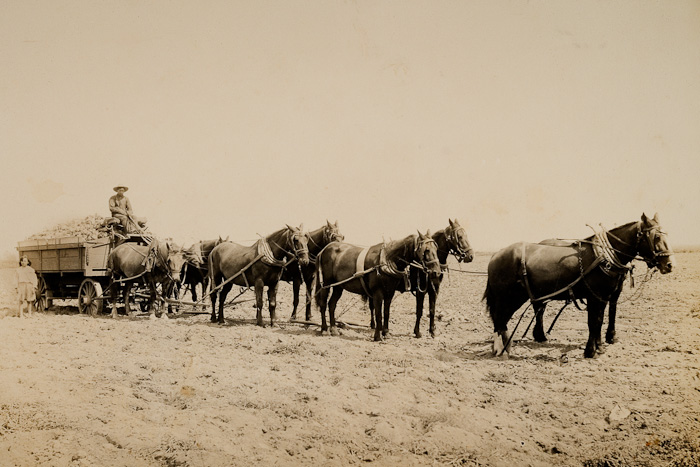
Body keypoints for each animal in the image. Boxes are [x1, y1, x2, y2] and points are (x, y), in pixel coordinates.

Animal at [484, 215, 676, 358]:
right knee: (500, 319)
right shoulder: (594, 297)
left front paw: (599, 346)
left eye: (666, 234)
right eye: (656, 237)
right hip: (508, 297)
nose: (669, 265)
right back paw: (502, 350)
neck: (604, 257)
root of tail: (495, 255)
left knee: (507, 318)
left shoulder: (604, 297)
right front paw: (591, 351)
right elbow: (593, 322)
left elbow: (600, 320)